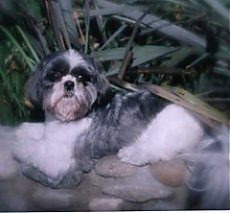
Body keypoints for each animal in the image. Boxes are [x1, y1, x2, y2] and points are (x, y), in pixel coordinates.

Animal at [6, 48, 227, 208]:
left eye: (82, 77)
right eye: (55, 74)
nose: (69, 84)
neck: (68, 117)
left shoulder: (61, 161)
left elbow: (35, 148)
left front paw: (19, 146)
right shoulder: (49, 131)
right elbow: (37, 132)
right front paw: (24, 130)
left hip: (167, 129)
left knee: (160, 149)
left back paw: (134, 152)